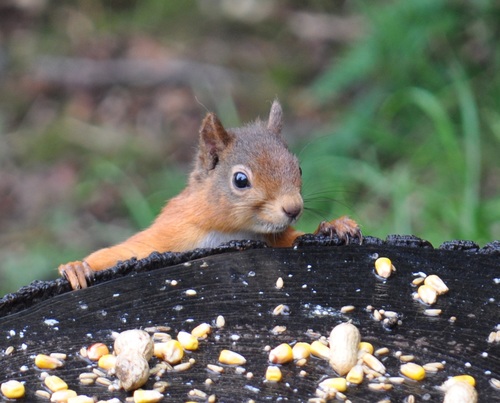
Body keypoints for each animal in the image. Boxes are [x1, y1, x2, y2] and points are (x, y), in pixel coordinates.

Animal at [59, 101, 360, 290]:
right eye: (240, 180)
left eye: (298, 168)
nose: (293, 208)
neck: (230, 231)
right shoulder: (171, 232)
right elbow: (127, 251)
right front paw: (78, 267)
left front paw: (335, 226)